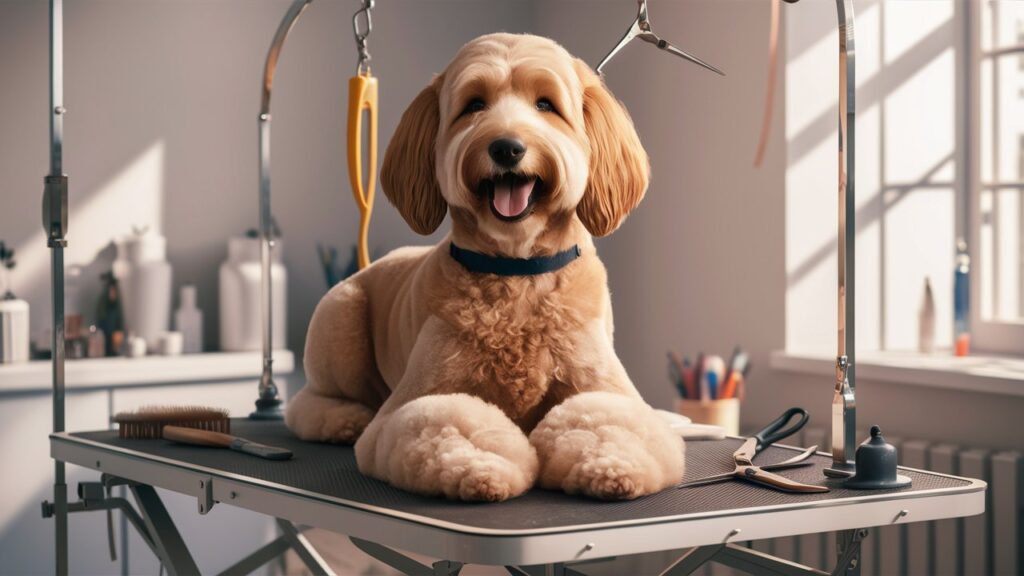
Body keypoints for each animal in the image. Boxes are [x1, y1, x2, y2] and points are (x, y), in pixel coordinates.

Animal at [288, 32, 684, 498]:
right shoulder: (406, 407)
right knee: (306, 402)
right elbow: (447, 419)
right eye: (474, 104)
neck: (517, 275)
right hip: (341, 316)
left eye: (546, 104)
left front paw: (611, 465)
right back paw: (342, 419)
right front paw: (481, 468)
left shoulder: (609, 390)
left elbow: (607, 419)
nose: (507, 147)